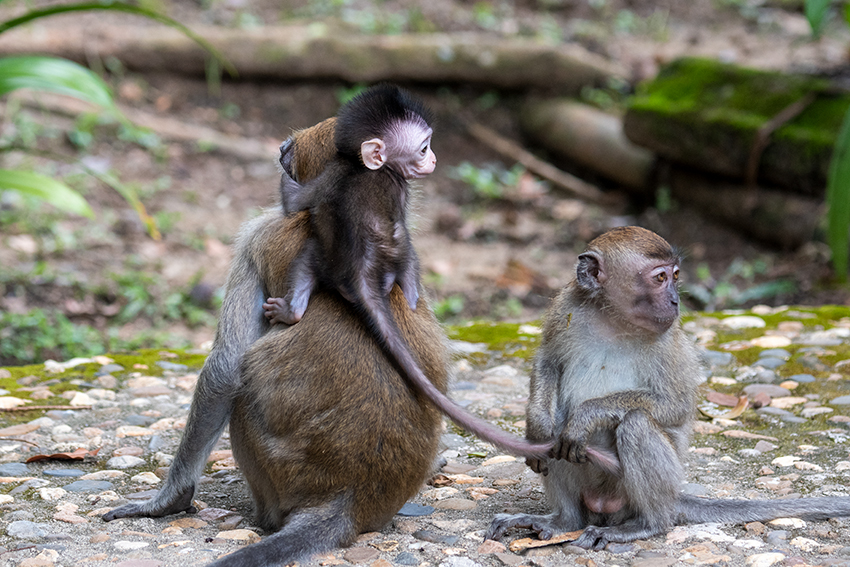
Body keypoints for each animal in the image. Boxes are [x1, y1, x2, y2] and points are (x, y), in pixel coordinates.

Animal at [486, 225, 848, 552]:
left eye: (675, 275)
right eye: (660, 278)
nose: (675, 301)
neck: (613, 320)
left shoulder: (668, 340)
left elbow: (675, 406)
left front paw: (586, 416)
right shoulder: (566, 306)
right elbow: (548, 362)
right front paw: (536, 423)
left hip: (656, 483)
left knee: (635, 424)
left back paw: (647, 525)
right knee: (557, 437)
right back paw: (564, 520)